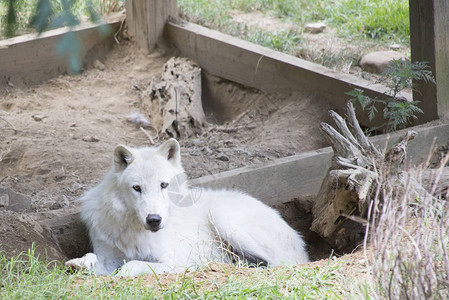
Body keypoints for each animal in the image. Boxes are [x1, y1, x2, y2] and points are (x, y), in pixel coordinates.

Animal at [65, 139, 308, 276]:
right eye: (137, 188)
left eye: (163, 185)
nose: (154, 219)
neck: (132, 231)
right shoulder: (107, 255)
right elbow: (93, 259)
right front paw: (80, 263)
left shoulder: (177, 260)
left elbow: (132, 265)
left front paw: (123, 273)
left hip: (223, 217)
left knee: (284, 263)